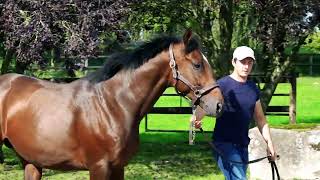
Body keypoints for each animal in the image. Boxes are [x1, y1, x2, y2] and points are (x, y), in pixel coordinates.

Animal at [0, 30, 222, 179]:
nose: (219, 104)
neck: (112, 105)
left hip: (30, 161)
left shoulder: (118, 166)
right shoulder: (100, 167)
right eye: (197, 65)